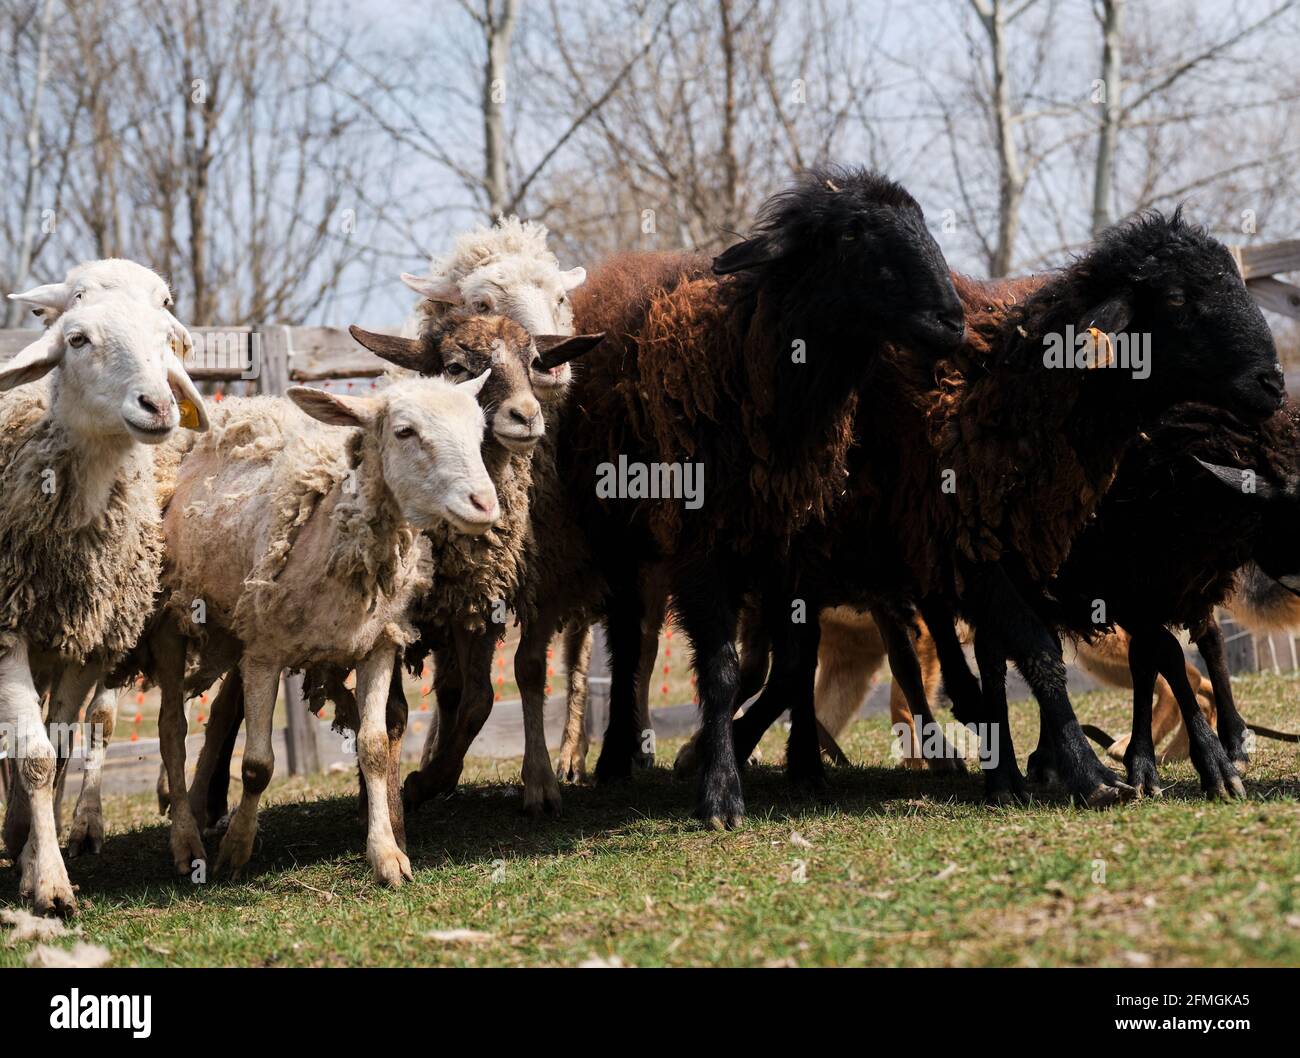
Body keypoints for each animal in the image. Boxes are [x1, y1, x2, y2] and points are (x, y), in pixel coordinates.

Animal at [152, 371, 493, 889]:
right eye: (405, 432)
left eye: (479, 431)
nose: (485, 504)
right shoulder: (265, 652)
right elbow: (257, 766)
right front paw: (236, 850)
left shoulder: (377, 645)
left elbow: (374, 747)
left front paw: (387, 856)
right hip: (174, 621)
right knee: (172, 726)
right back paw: (186, 839)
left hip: (233, 626)